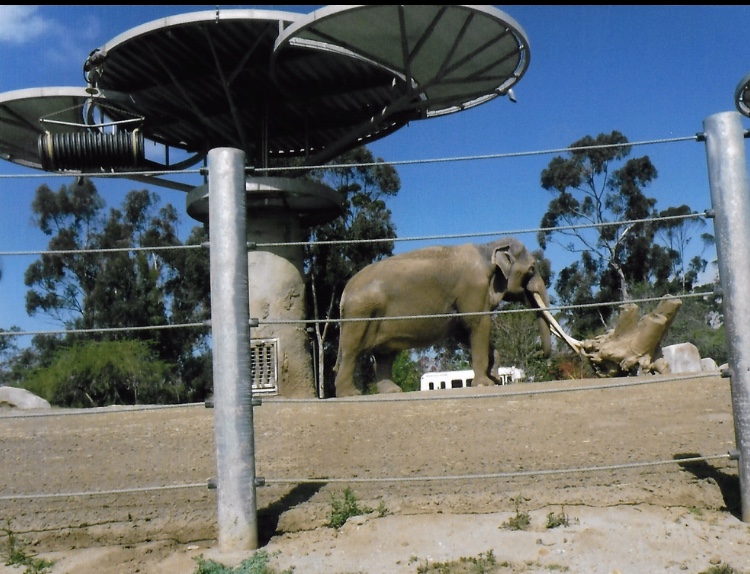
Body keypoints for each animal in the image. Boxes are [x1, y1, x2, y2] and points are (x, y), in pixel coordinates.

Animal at [332, 237, 565, 397]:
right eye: (532, 268)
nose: (536, 353)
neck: (487, 247)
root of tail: (345, 291)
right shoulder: (473, 287)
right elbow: (478, 324)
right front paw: (485, 384)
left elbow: (465, 331)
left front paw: (495, 378)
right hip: (360, 313)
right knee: (352, 351)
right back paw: (351, 394)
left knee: (383, 355)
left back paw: (392, 391)